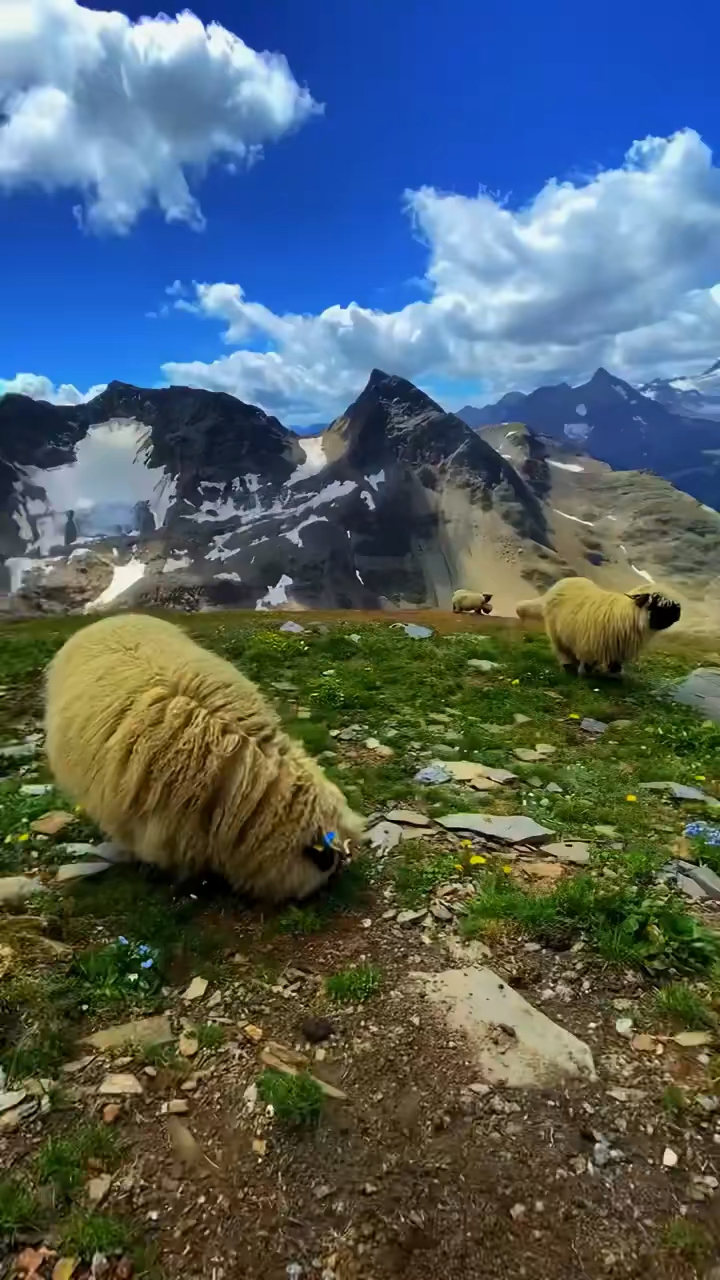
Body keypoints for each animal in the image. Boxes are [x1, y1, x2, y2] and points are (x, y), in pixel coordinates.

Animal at [538, 578, 676, 675]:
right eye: (658, 605)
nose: (679, 608)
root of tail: (565, 580)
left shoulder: (617, 649)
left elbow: (615, 664)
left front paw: (614, 673)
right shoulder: (589, 643)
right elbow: (586, 661)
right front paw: (585, 672)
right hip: (556, 632)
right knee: (561, 649)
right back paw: (567, 664)